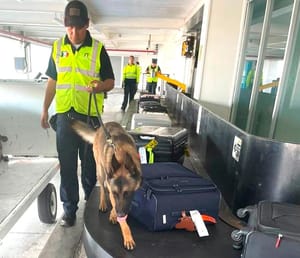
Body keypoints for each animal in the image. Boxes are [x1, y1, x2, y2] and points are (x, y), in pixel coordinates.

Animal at [72, 121, 143, 250]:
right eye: (115, 193)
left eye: (127, 194)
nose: (120, 214)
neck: (122, 156)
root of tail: (100, 128)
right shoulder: (112, 191)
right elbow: (116, 207)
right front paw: (127, 236)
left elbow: (119, 205)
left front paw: (114, 215)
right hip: (100, 172)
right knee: (102, 189)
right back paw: (103, 203)